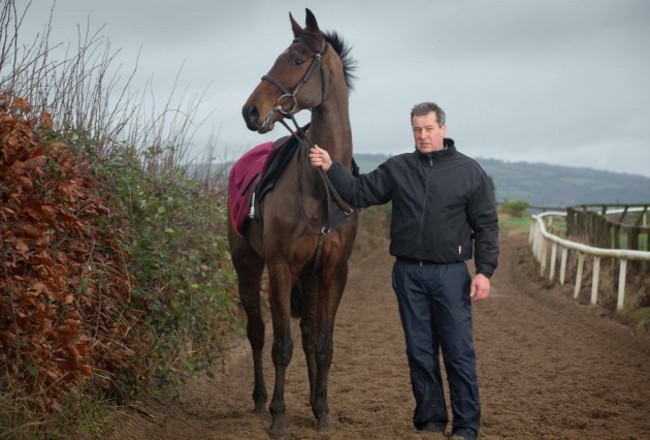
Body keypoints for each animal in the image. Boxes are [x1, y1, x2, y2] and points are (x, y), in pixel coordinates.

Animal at [227, 6, 360, 440]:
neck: (321, 184)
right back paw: (258, 400)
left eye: (298, 60)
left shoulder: (332, 271)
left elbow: (322, 345)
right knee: (257, 331)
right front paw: (278, 416)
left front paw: (323, 412)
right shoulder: (281, 267)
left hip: (309, 275)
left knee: (307, 337)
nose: (250, 110)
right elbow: (280, 345)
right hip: (248, 265)